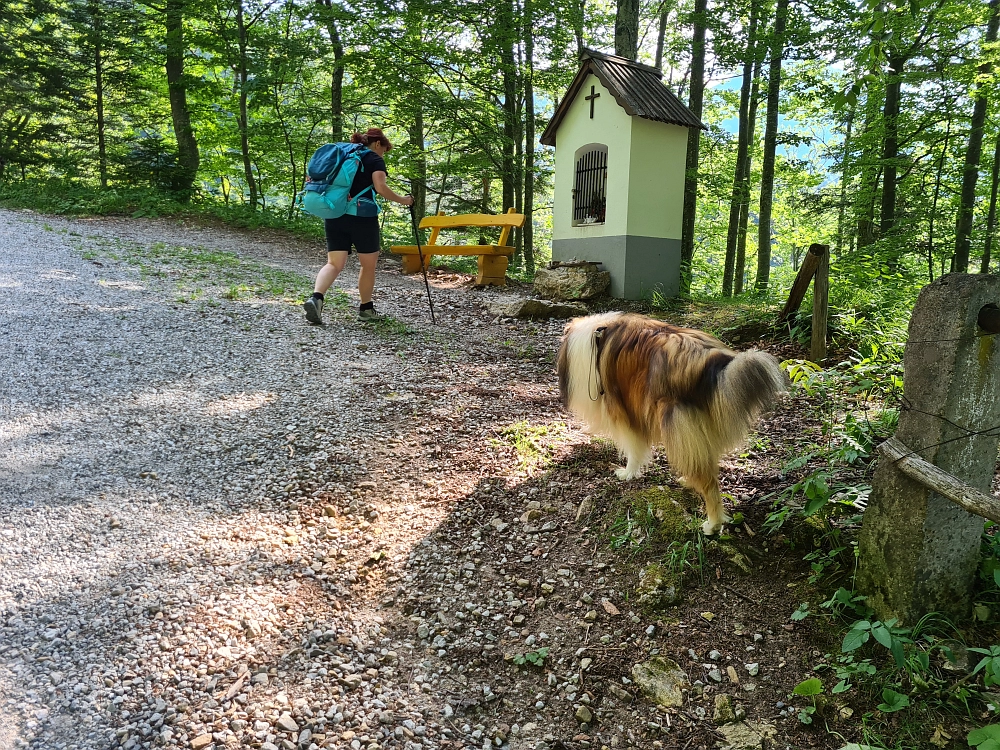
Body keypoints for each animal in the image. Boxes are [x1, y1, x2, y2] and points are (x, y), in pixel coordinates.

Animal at [560, 312, 784, 536]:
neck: (595, 336)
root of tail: (711, 359)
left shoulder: (624, 410)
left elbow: (633, 448)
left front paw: (628, 473)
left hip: (674, 420)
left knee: (709, 483)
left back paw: (712, 524)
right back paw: (689, 481)